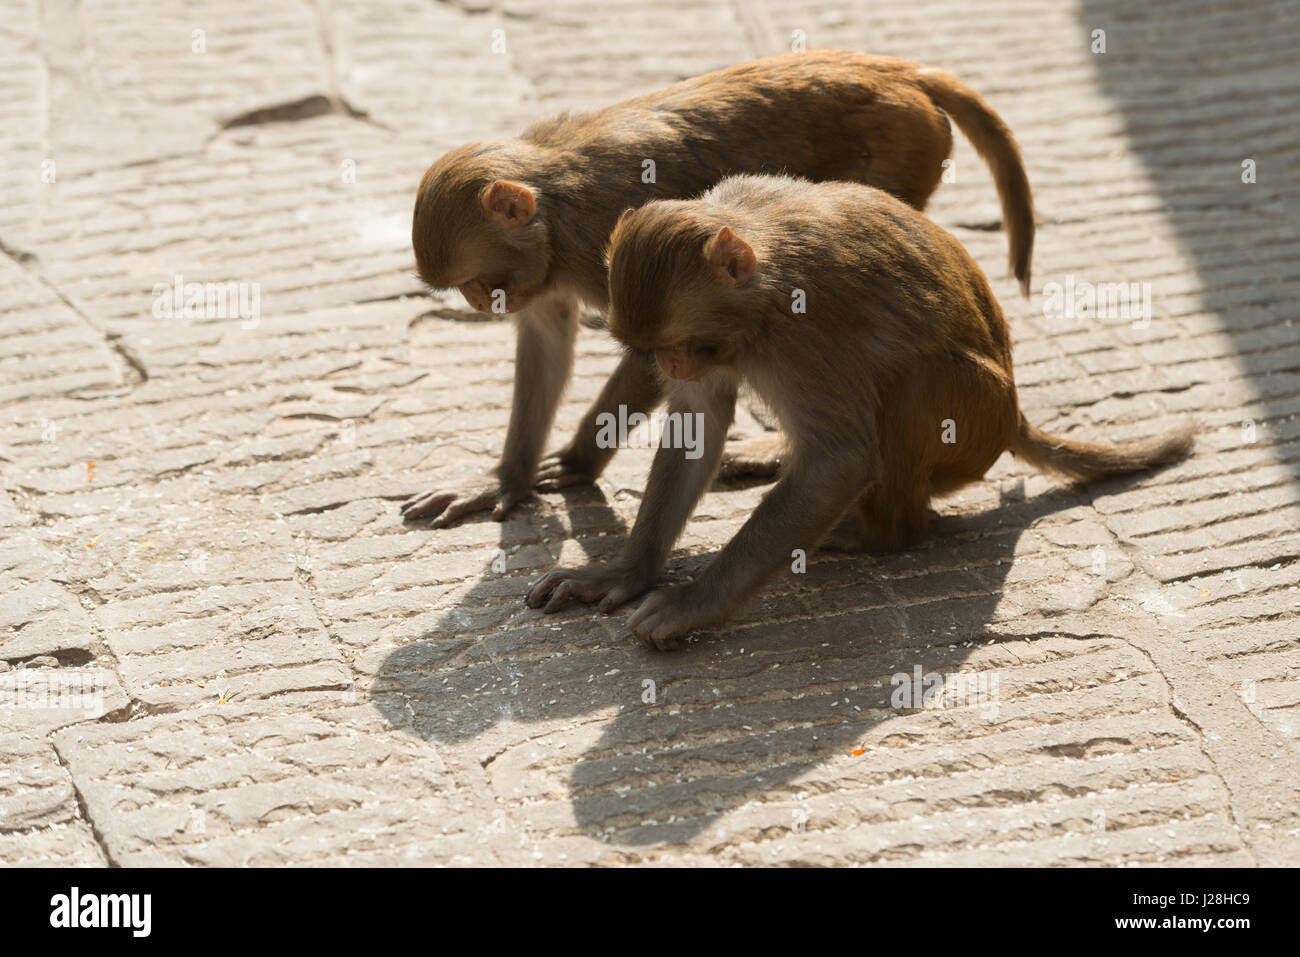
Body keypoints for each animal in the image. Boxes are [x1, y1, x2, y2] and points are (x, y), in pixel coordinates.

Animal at [405, 48, 1034, 527]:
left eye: (479, 282)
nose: (481, 302)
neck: (554, 203)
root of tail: (894, 70)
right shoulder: (549, 272)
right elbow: (545, 339)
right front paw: (506, 480)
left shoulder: (604, 250)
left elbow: (652, 353)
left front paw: (579, 463)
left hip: (901, 150)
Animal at [522, 174, 1190, 650]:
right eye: (657, 351)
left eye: (681, 344)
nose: (672, 366)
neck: (762, 289)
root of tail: (1017, 413)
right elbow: (697, 427)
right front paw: (626, 572)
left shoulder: (807, 328)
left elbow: (840, 462)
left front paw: (694, 604)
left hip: (973, 423)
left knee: (909, 384)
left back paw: (880, 533)